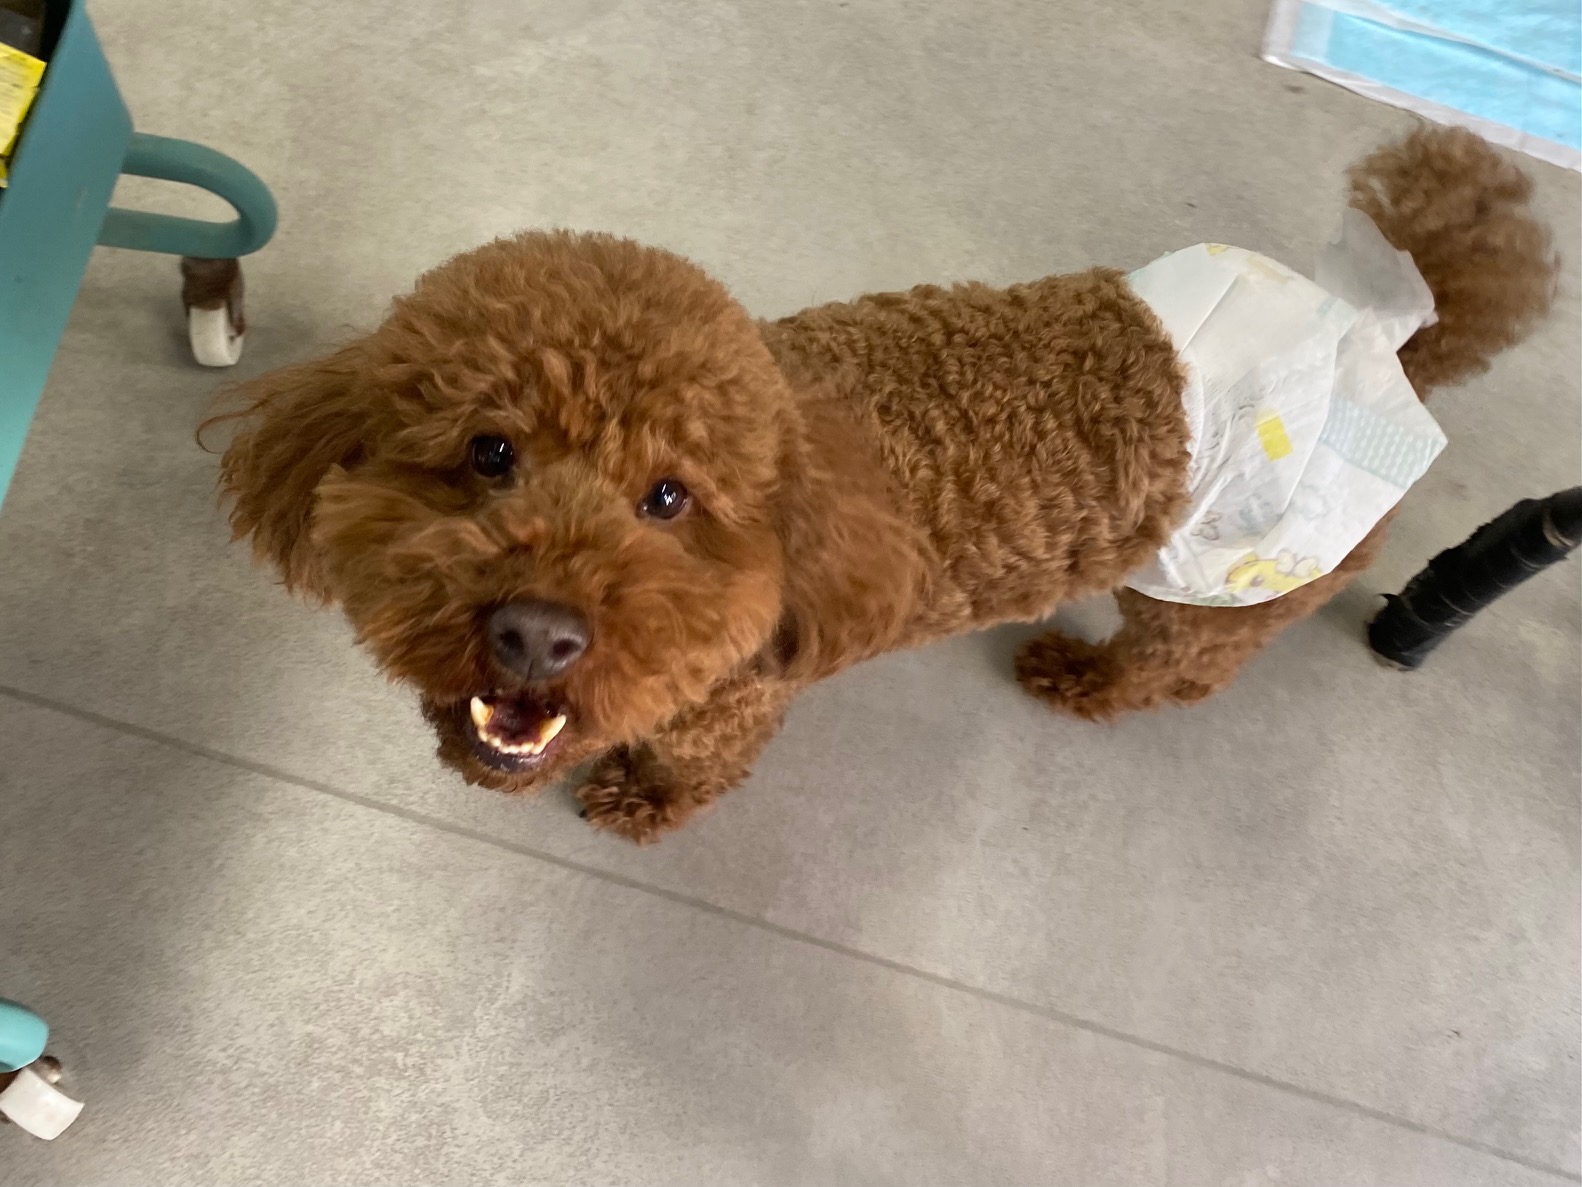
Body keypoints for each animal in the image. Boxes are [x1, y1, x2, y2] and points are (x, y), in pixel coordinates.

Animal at [212, 127, 1555, 843]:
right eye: (490, 452)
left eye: (669, 497)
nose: (538, 635)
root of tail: (1388, 334)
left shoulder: (729, 704)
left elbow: (689, 767)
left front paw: (640, 798)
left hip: (1224, 575)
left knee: (1179, 661)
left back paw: (1091, 675)